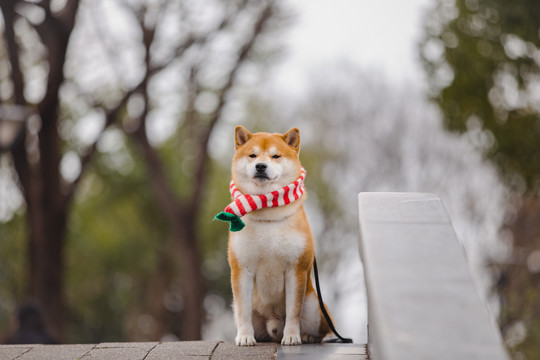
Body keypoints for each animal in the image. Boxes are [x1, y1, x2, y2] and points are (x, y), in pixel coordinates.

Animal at [218, 126, 330, 346]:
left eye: (275, 156)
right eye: (252, 155)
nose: (261, 166)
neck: (268, 214)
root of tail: (273, 324)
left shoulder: (296, 270)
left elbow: (294, 310)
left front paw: (292, 336)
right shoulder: (241, 269)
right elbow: (243, 311)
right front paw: (245, 337)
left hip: (315, 307)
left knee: (321, 331)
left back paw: (307, 336)